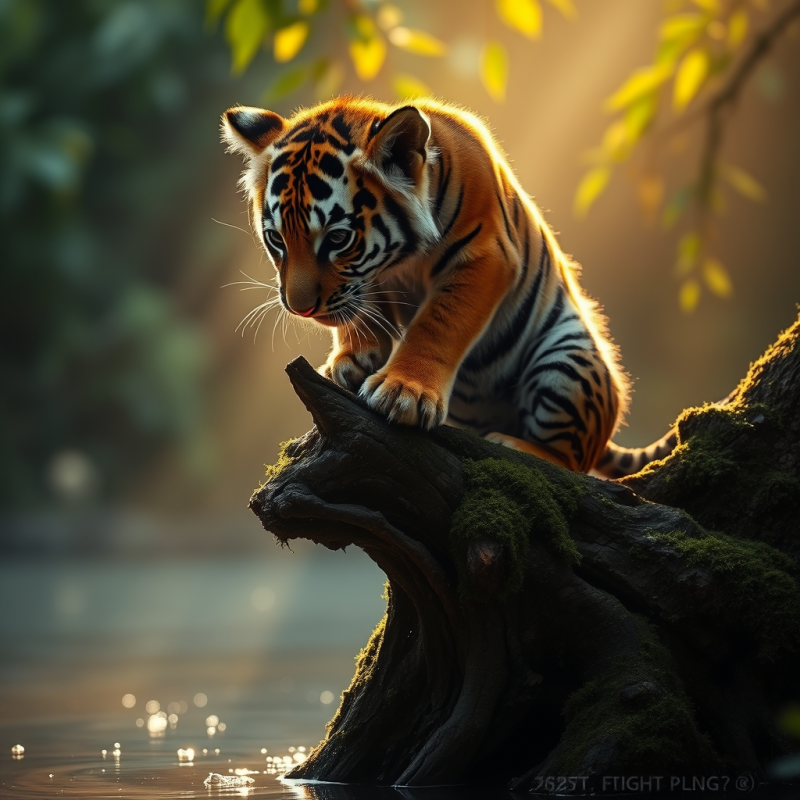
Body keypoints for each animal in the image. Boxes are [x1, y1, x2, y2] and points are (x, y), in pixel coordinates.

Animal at [221, 97, 677, 478]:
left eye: (337, 239)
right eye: (277, 239)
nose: (300, 308)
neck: (401, 259)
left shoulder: (485, 257)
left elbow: (438, 323)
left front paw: (402, 393)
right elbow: (361, 307)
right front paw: (351, 360)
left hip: (568, 361)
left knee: (570, 462)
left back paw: (511, 444)